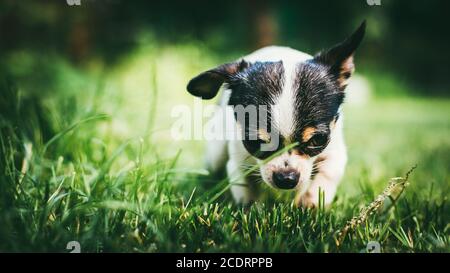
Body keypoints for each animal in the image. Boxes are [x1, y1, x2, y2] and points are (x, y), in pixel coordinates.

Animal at [186, 21, 366, 206]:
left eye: (318, 139)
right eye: (255, 142)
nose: (286, 178)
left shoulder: (334, 154)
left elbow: (324, 178)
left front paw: (309, 204)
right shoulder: (238, 163)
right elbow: (246, 192)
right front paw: (250, 210)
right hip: (216, 150)